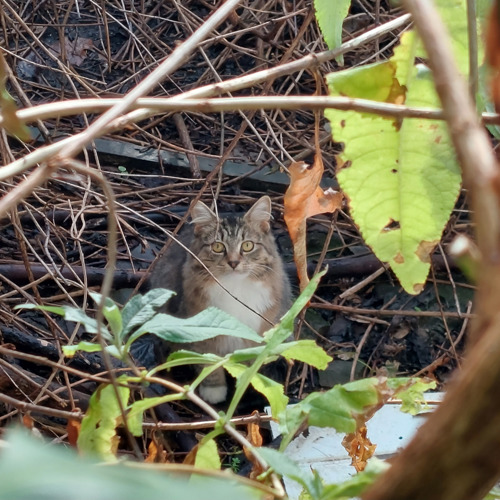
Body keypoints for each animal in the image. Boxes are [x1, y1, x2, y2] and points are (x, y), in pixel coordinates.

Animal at [150, 197, 292, 404]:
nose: (233, 262)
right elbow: (208, 362)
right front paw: (214, 391)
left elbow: (251, 362)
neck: (235, 288)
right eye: (218, 247)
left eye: (247, 246)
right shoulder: (200, 330)